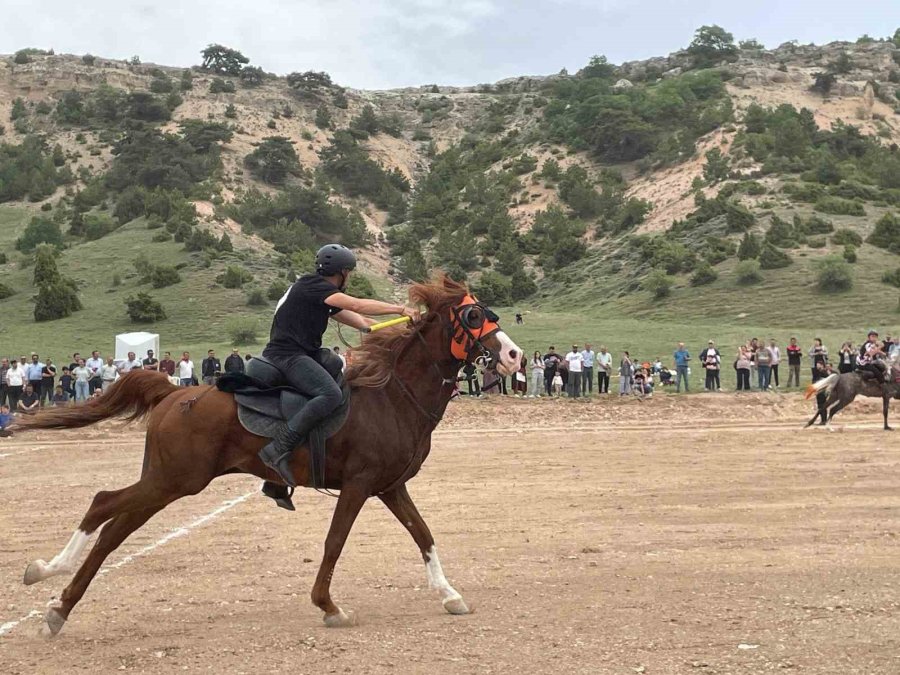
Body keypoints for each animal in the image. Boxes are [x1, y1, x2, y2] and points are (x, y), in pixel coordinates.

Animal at [14, 276, 520, 640]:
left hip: (165, 482)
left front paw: (450, 595)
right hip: (174, 480)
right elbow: (335, 542)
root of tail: (172, 393)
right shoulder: (358, 486)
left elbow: (424, 535)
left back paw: (59, 606)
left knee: (114, 530)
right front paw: (328, 606)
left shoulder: (390, 487)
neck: (393, 396)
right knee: (103, 503)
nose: (514, 354)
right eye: (473, 314)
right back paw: (47, 573)